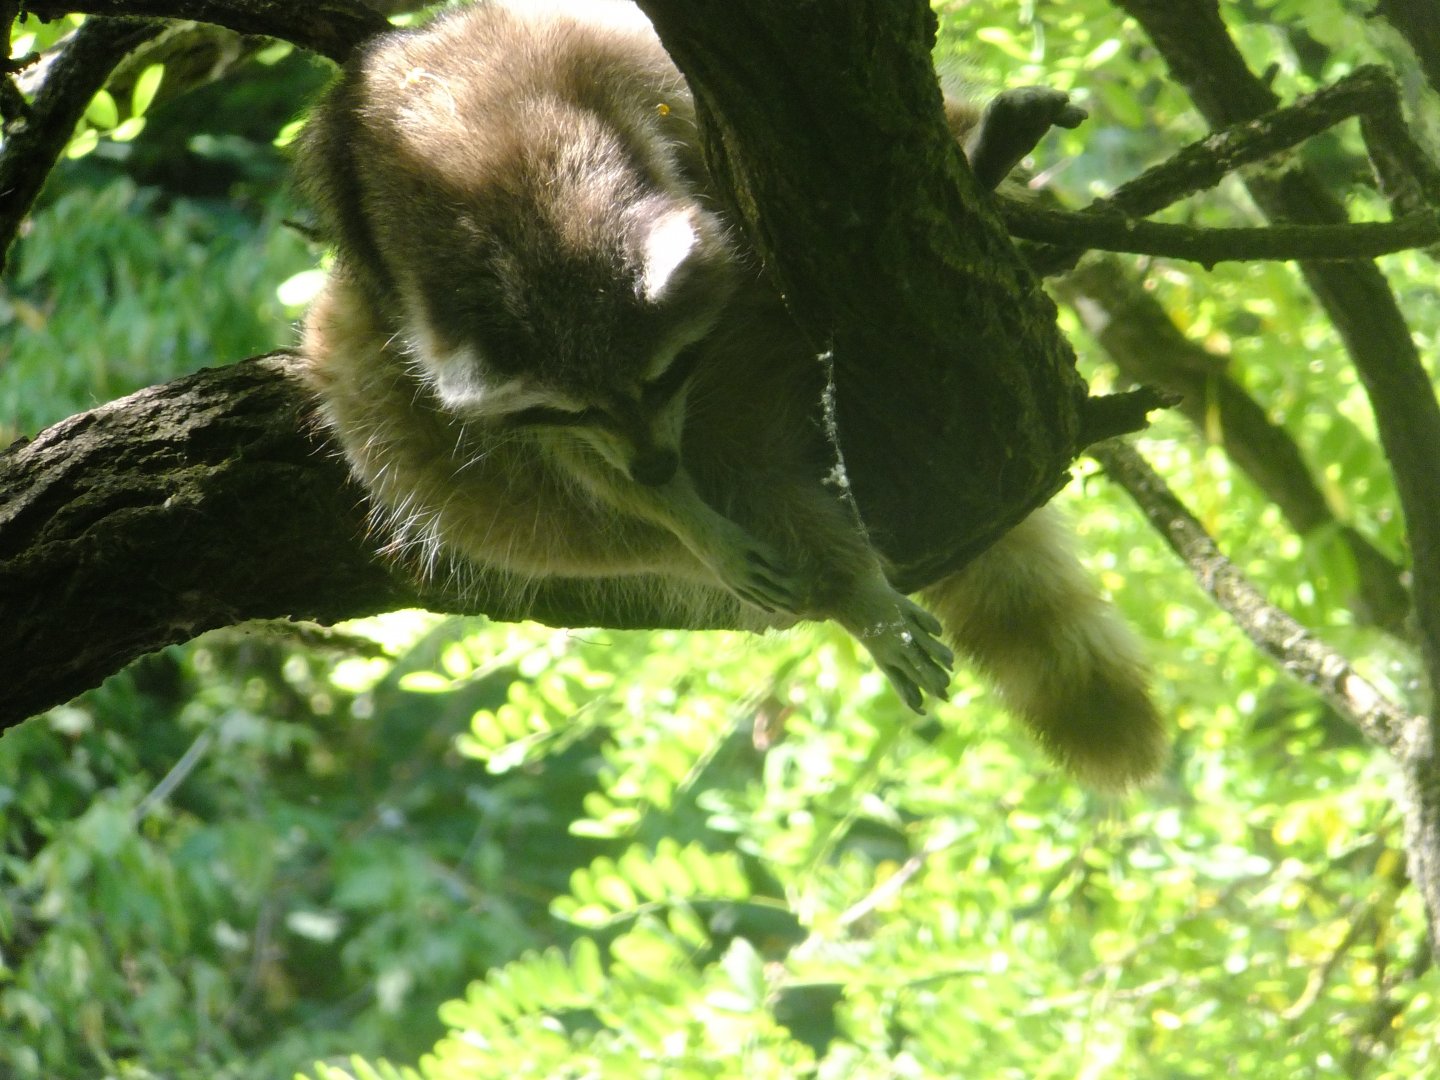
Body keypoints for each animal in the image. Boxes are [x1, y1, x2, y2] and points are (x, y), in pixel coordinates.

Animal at [295, 0, 1167, 787]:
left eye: (662, 376)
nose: (655, 470)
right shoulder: (403, 267)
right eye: (575, 409)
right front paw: (679, 511)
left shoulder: (631, 86)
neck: (515, 198)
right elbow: (571, 457)